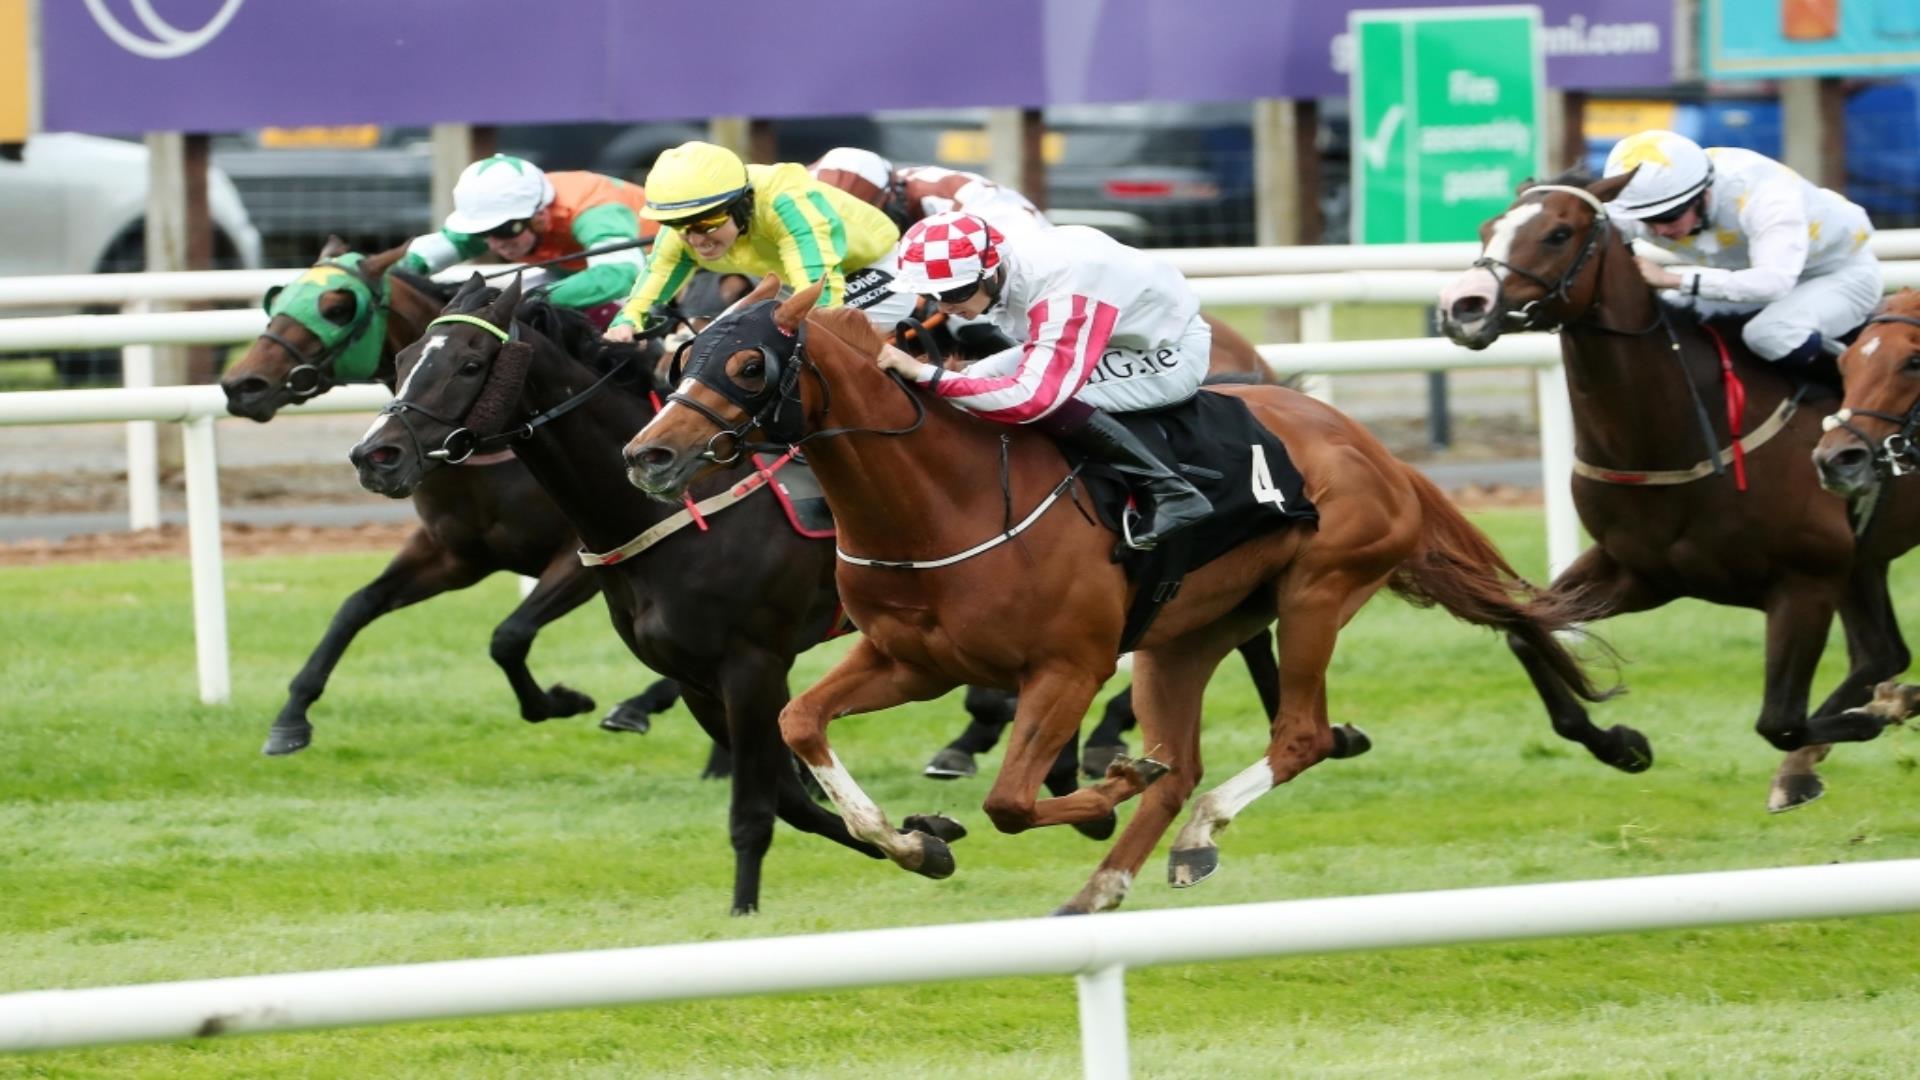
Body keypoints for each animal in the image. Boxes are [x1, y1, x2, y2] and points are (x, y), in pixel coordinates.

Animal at [219, 239, 679, 756]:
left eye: (336, 308)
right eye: (277, 299)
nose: (242, 384)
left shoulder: (584, 558)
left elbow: (509, 635)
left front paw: (561, 700)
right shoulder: (455, 556)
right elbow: (356, 606)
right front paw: (291, 718)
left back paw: (643, 705)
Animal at [346, 274, 971, 914]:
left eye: (470, 364)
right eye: (402, 360)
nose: (375, 456)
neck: (671, 517)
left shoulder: (750, 665)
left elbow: (755, 809)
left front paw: (743, 910)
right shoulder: (697, 678)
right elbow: (791, 802)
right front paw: (926, 838)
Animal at [620, 275, 1609, 914]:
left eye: (749, 365)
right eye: (681, 359)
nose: (649, 454)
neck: (942, 499)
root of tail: (1371, 444)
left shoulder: (1068, 665)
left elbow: (1012, 801)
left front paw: (1101, 791)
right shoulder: (908, 658)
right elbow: (801, 724)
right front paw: (919, 841)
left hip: (1318, 591)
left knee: (1298, 734)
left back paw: (1186, 826)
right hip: (1185, 635)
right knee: (1193, 761)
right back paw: (1110, 881)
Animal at [1435, 172, 1919, 811]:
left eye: (1558, 233)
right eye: (1488, 228)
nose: (1463, 307)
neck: (1680, 431)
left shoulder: (1805, 579)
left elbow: (1779, 719)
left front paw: (1883, 710)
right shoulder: (1638, 570)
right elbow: (1525, 632)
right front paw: (1622, 744)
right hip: (1860, 560)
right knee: (1881, 652)